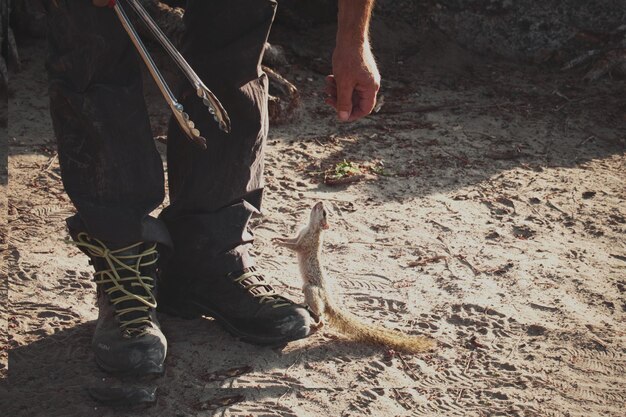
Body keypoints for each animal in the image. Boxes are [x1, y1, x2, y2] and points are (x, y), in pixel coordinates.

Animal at [272, 201, 434, 352]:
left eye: (324, 213)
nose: (320, 202)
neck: (311, 228)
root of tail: (328, 298)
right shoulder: (299, 235)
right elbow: (290, 240)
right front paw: (278, 238)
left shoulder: (305, 243)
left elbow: (294, 247)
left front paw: (279, 242)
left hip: (311, 289)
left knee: (321, 313)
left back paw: (316, 323)